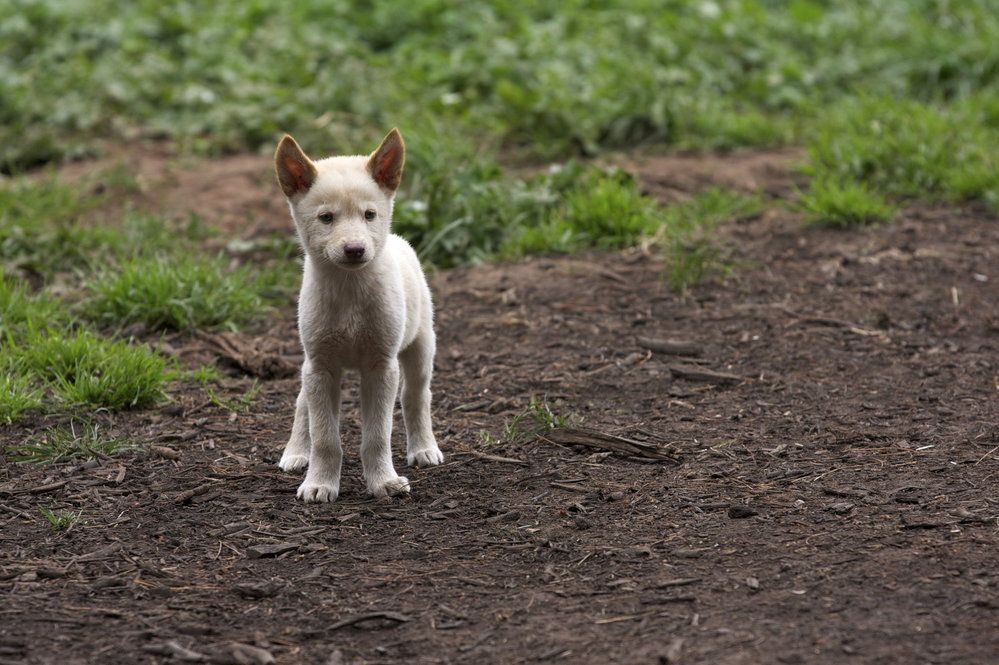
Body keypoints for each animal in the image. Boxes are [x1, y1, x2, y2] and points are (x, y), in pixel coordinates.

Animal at [276, 128, 444, 504]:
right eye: (326, 218)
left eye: (369, 215)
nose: (355, 249)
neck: (350, 292)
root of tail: (398, 240)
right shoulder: (321, 366)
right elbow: (325, 436)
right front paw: (320, 483)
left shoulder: (381, 366)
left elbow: (378, 435)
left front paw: (383, 481)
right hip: (311, 362)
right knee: (302, 403)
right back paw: (296, 452)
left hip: (421, 346)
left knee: (416, 397)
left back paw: (423, 448)